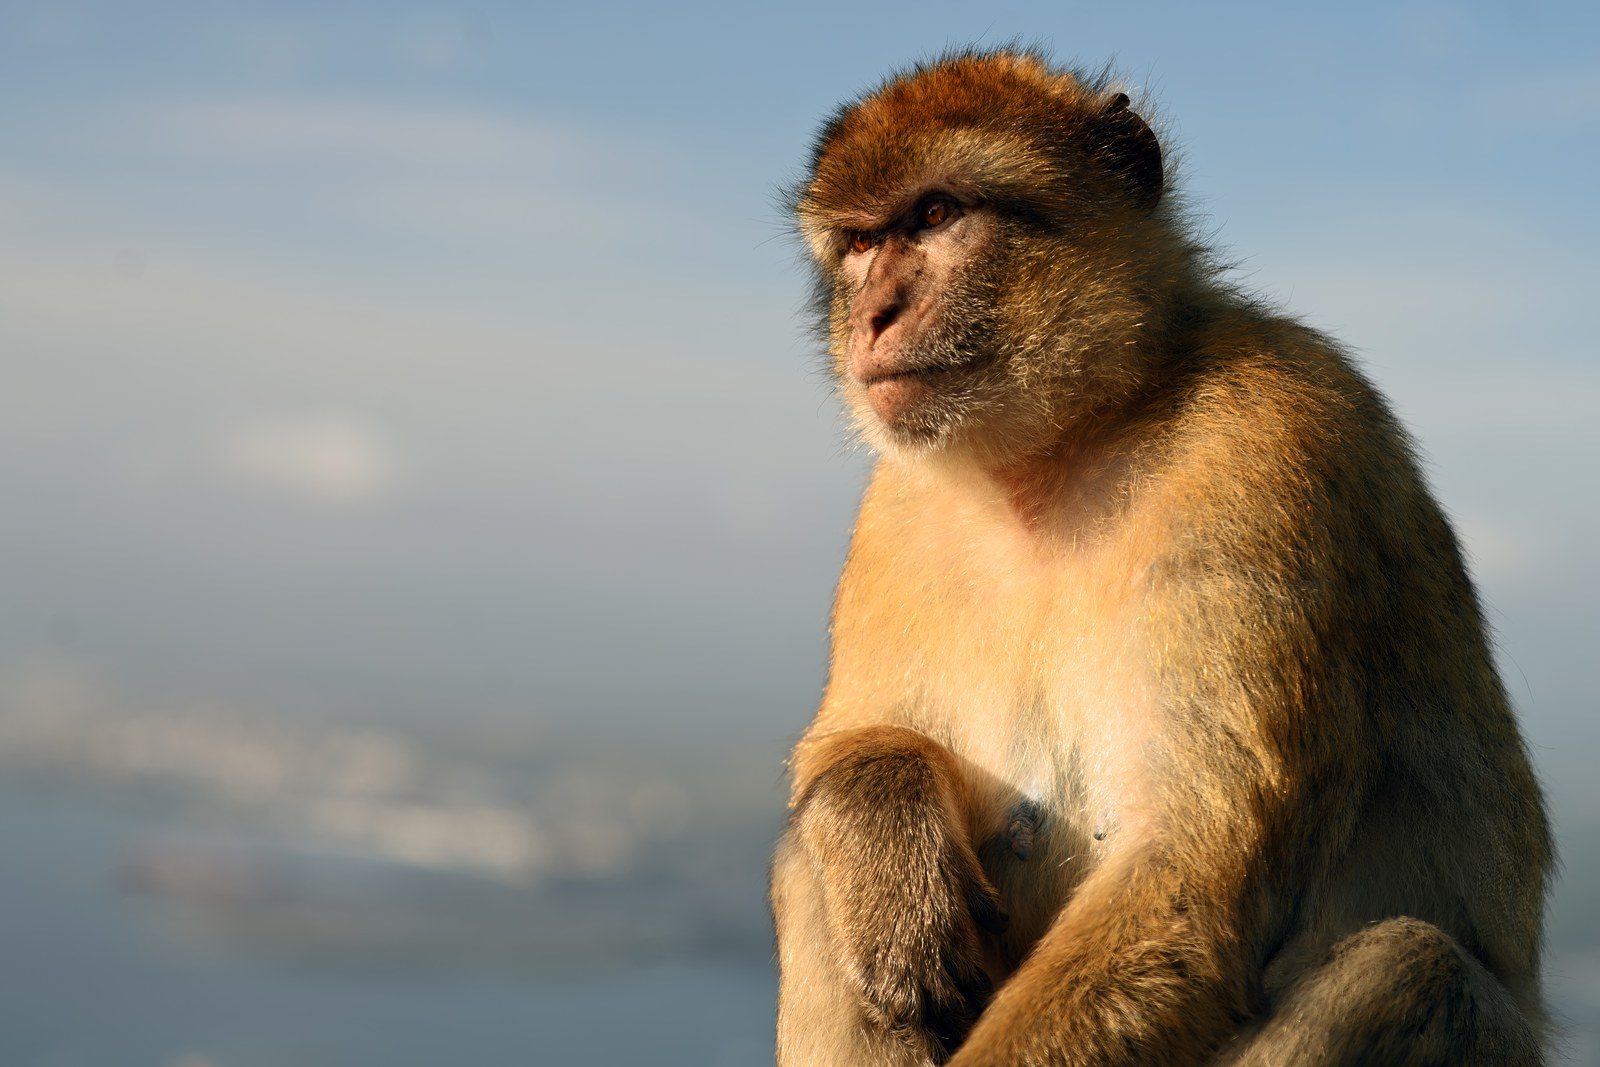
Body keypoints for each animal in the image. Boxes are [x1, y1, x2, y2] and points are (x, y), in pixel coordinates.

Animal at [769, 49, 1551, 1066]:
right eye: (860, 244)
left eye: (935, 215)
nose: (872, 313)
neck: (1062, 451)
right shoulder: (894, 511)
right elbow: (848, 738)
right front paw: (881, 821)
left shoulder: (1269, 440)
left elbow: (1185, 875)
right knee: (810, 864)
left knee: (1415, 968)